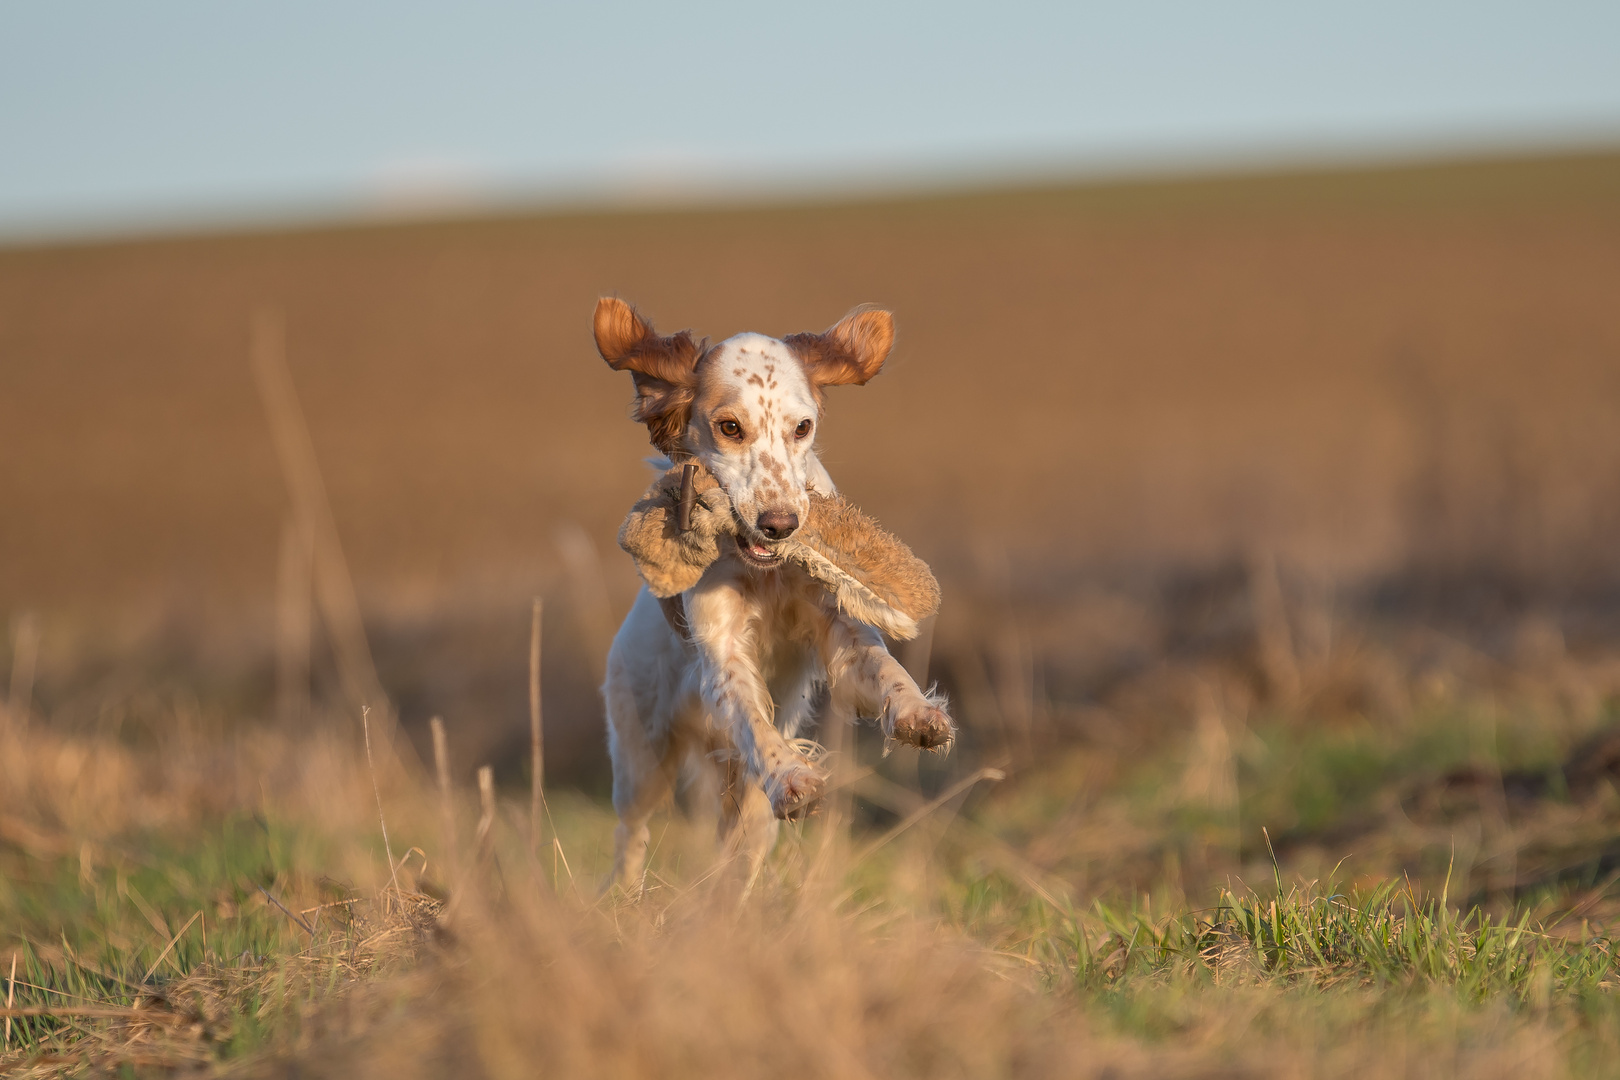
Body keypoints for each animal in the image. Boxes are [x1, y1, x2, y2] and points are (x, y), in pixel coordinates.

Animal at [592, 297, 946, 893]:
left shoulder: (840, 629)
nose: (780, 525)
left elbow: (884, 665)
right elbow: (755, 725)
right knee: (629, 834)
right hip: (640, 758)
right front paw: (794, 777)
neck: (765, 573)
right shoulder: (724, 655)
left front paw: (918, 713)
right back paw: (622, 896)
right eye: (729, 427)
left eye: (802, 427)